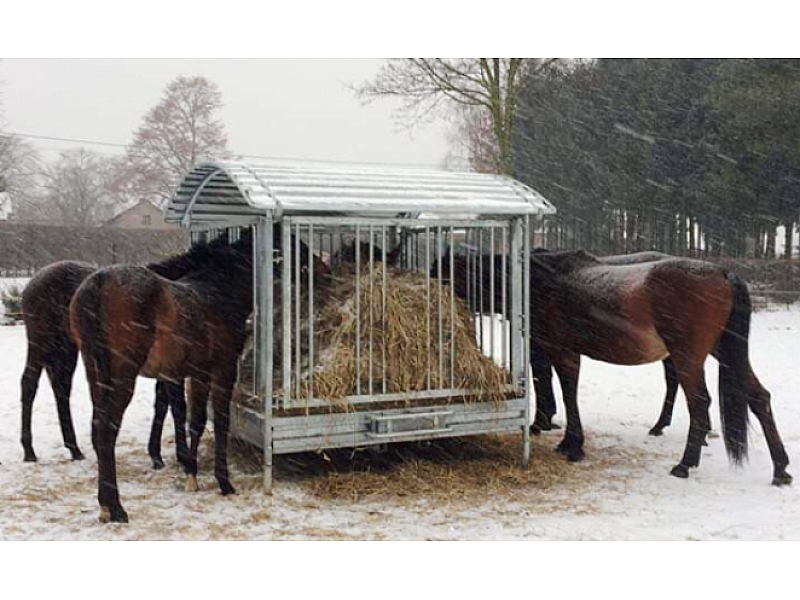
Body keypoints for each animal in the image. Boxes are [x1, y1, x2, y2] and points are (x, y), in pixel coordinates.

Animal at [72, 232, 255, 524]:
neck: (216, 294)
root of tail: (97, 283)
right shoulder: (221, 371)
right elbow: (216, 420)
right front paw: (222, 481)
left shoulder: (194, 374)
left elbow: (194, 420)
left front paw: (190, 472)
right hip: (123, 378)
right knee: (107, 430)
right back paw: (116, 508)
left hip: (96, 375)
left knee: (99, 426)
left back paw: (104, 506)